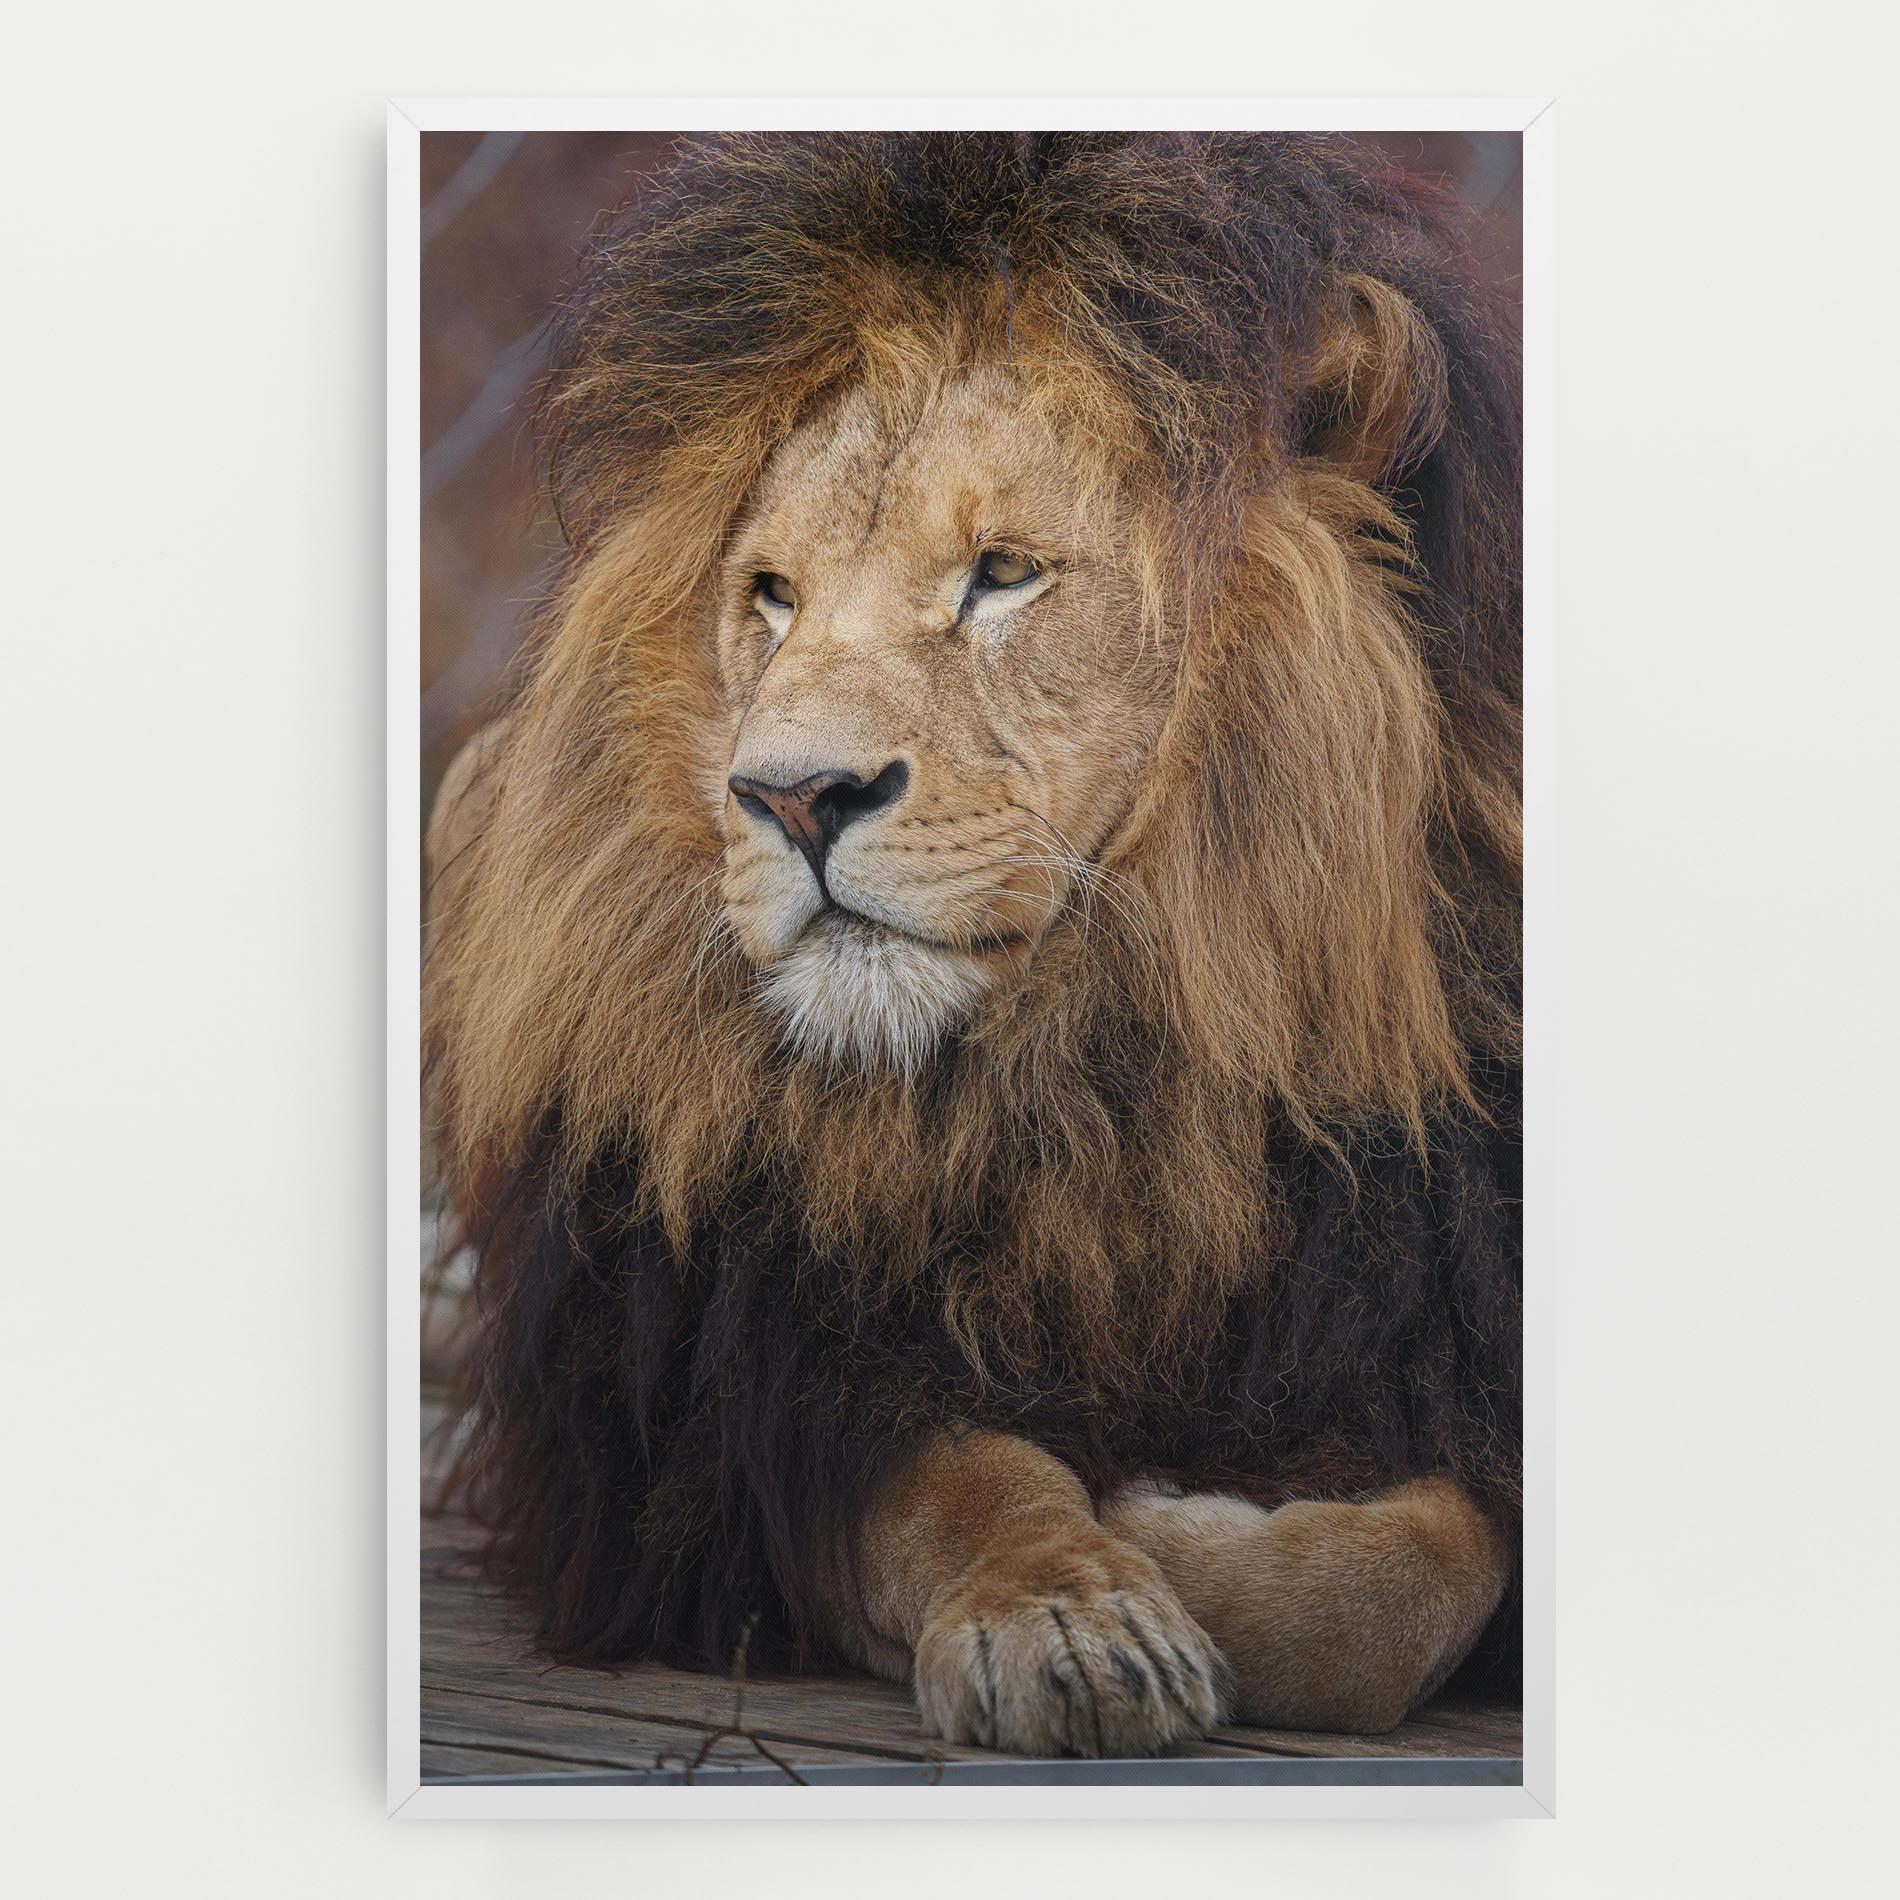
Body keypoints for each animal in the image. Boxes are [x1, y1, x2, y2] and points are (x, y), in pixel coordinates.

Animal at [424, 131, 1522, 1756]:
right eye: (771, 597)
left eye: (1004, 573)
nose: (790, 795)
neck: (1102, 1075)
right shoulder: (738, 1402)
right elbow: (961, 1485)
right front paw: (1074, 1607)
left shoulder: (1427, 1330)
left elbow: (1413, 1585)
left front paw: (1177, 1521)